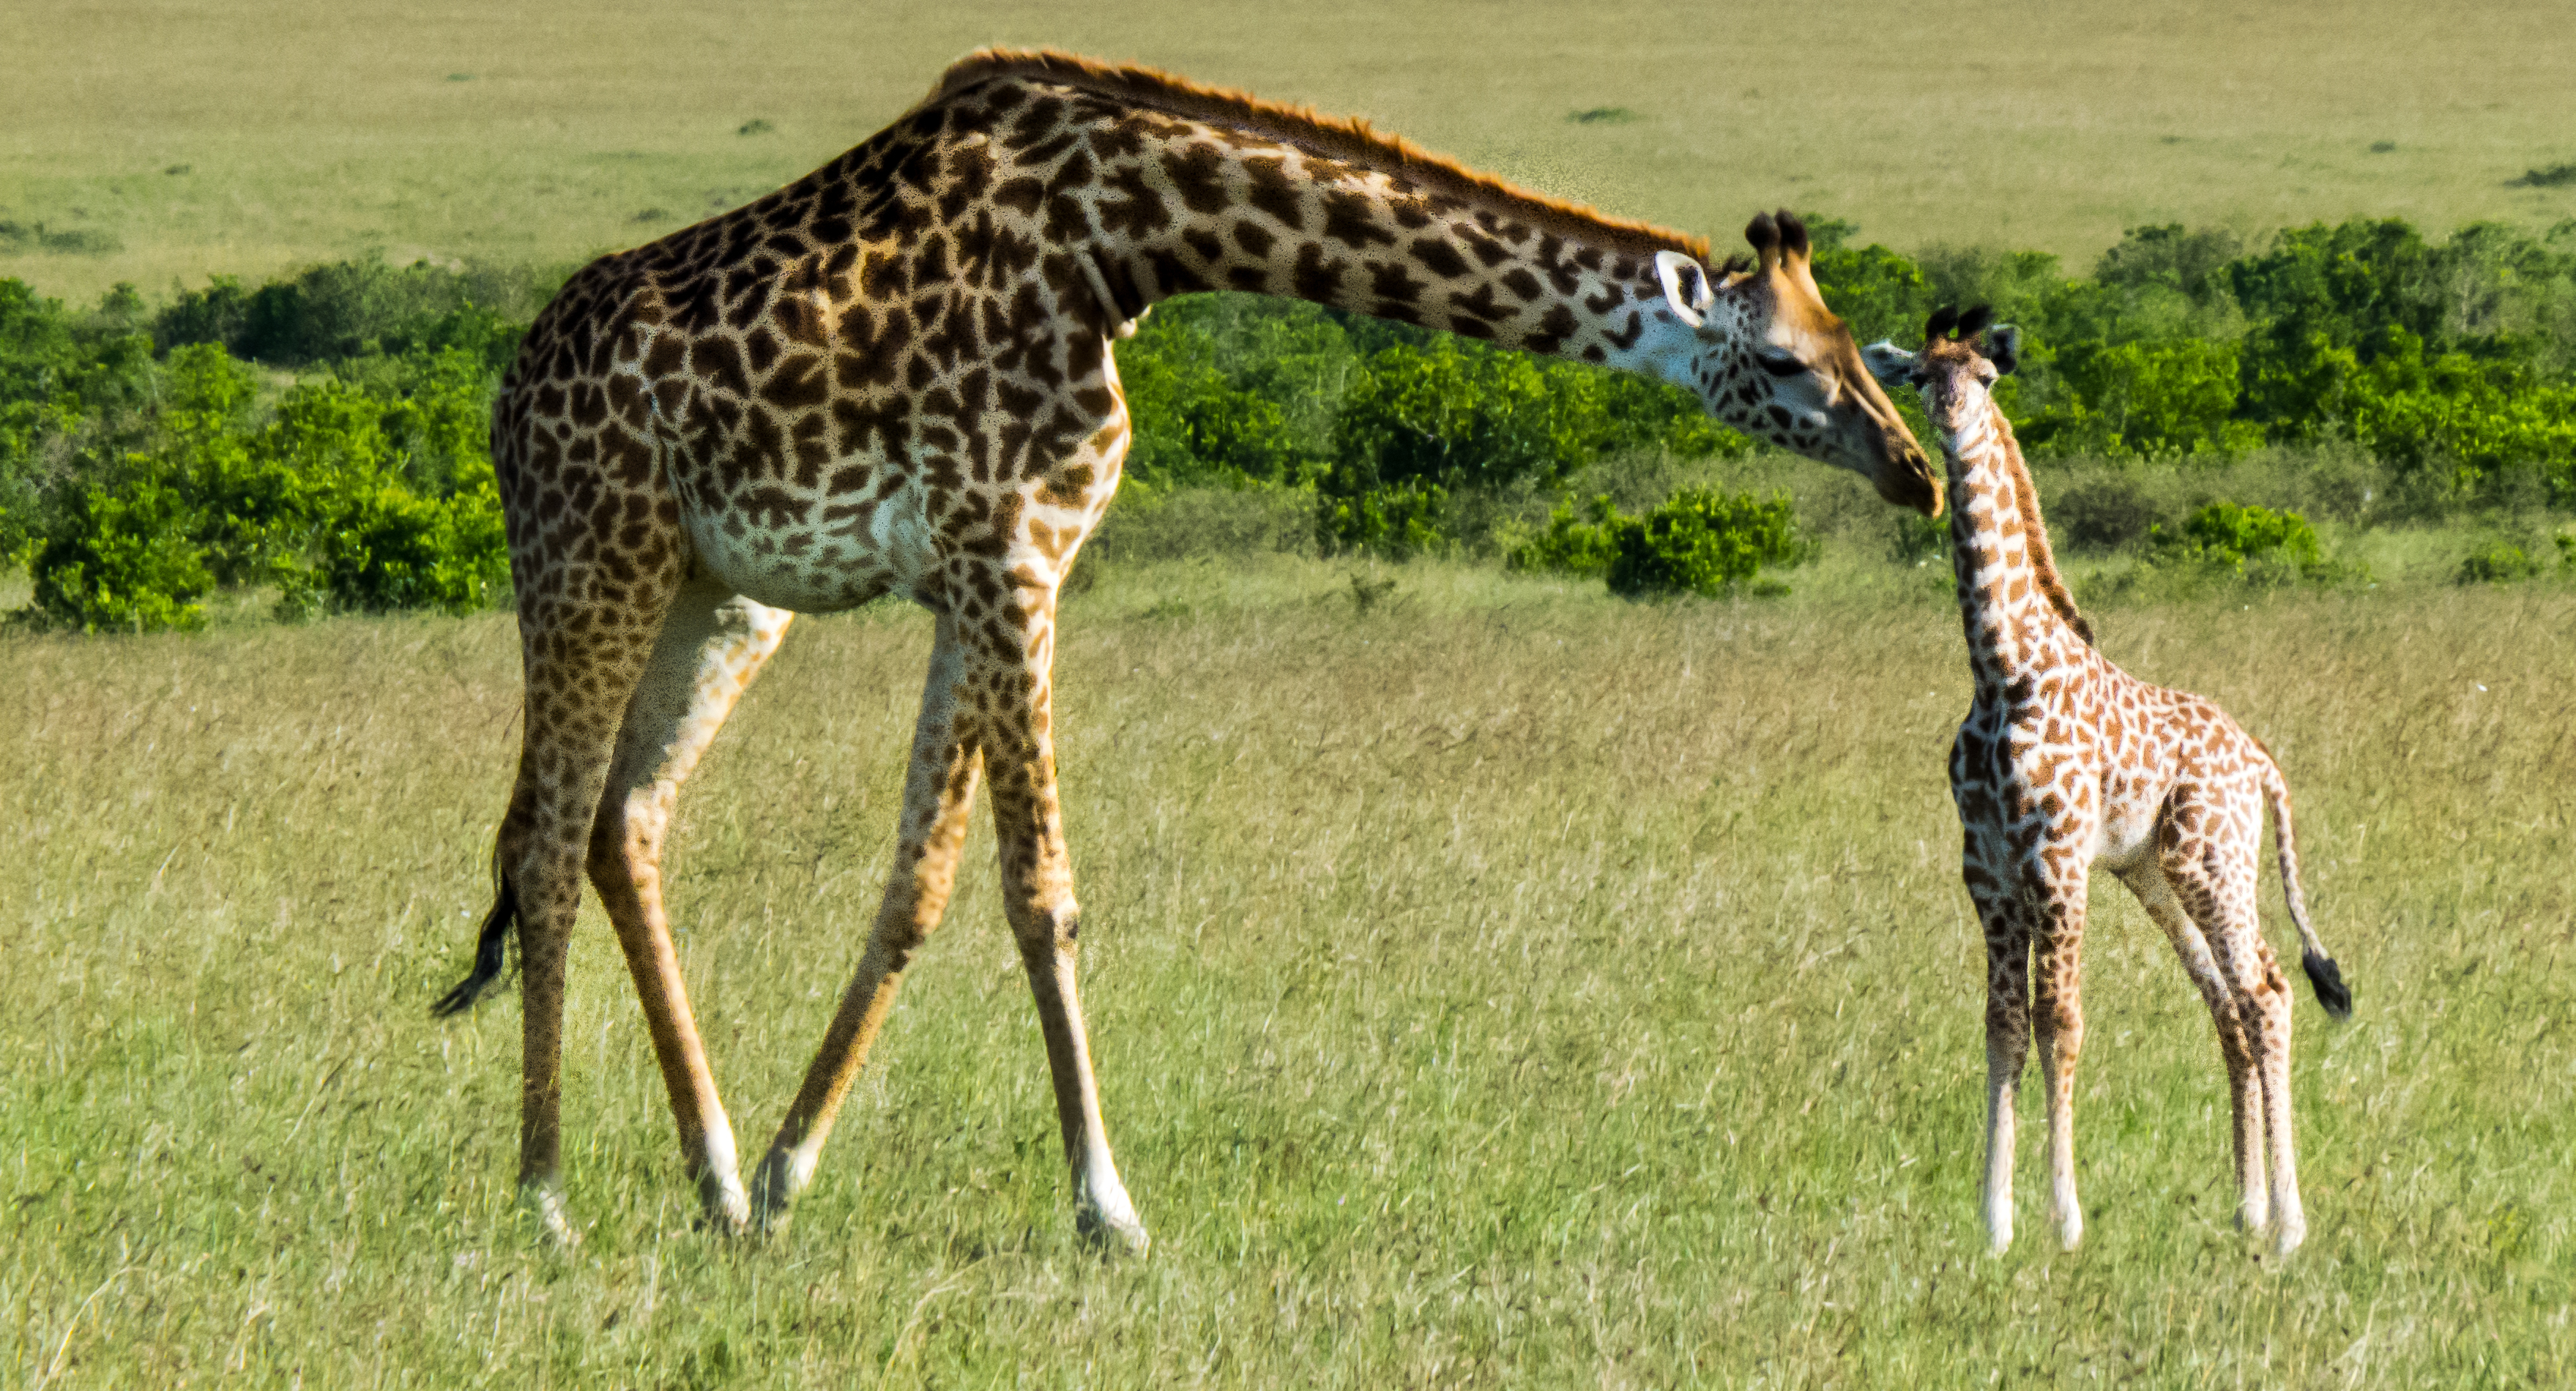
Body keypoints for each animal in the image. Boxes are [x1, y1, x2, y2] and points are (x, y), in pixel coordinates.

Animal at [438, 45, 1937, 1252]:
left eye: (1862, 346)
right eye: (1788, 364)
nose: (1914, 473)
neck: (1128, 241)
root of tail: (509, 390)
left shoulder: (991, 570)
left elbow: (916, 884)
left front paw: (784, 1176)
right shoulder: (1010, 556)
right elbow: (1039, 892)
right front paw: (1108, 1210)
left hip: (725, 597)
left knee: (623, 820)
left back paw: (709, 1176)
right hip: (592, 554)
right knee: (545, 843)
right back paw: (545, 1201)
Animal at [1865, 306, 2349, 1262]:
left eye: (1984, 377)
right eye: (1921, 375)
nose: (1948, 418)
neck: (1999, 667)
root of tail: (2260, 761)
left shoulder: (2054, 860)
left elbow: (2061, 1020)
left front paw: (2065, 1219)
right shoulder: (1986, 871)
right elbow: (2002, 1026)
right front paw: (1994, 1222)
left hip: (2210, 861)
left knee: (2267, 994)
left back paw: (2287, 1226)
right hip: (2152, 874)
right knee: (2227, 1004)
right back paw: (2247, 1210)